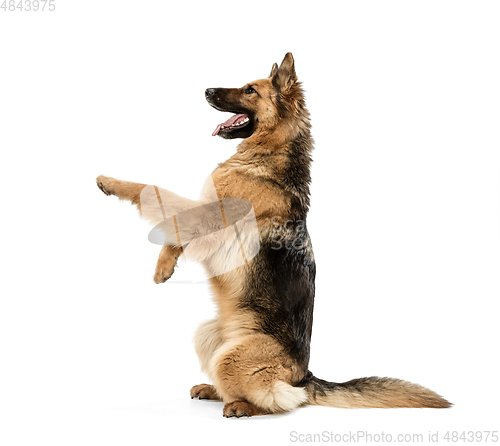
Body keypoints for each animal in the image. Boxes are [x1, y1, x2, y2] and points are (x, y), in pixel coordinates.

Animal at [95, 53, 452, 418]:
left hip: (232, 359)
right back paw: (213, 390)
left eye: (249, 90)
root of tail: (304, 376)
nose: (207, 90)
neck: (267, 155)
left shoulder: (209, 216)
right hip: (207, 334)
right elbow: (176, 227)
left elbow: (155, 193)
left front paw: (110, 183)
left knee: (281, 401)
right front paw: (164, 267)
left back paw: (241, 406)